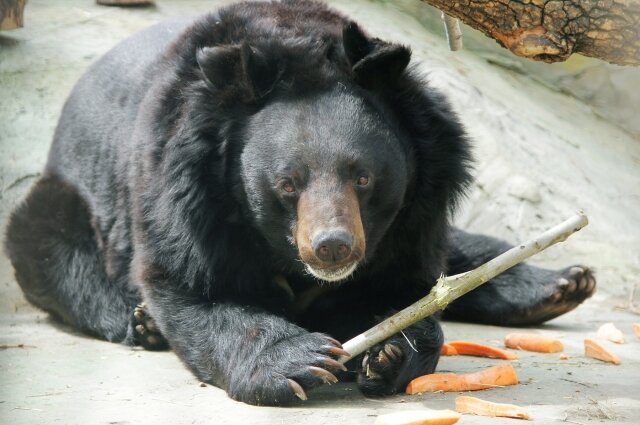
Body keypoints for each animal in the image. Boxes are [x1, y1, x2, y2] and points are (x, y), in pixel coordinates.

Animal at [3, 0, 596, 404]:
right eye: (288, 184)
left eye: (363, 178)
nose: (333, 247)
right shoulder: (182, 186)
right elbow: (193, 287)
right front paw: (298, 361)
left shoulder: (420, 204)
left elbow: (410, 286)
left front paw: (389, 350)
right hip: (66, 199)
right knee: (58, 256)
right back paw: (141, 321)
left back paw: (563, 284)